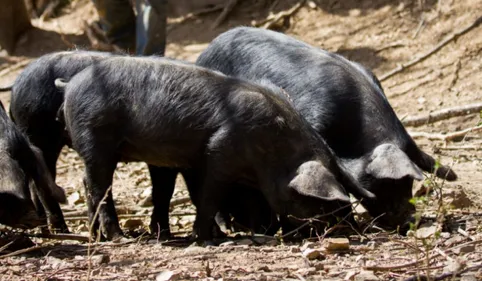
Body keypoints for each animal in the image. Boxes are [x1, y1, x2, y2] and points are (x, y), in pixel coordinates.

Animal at [55, 56, 372, 241]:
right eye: (319, 201)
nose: (350, 229)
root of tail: (70, 83)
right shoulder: (220, 150)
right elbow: (209, 196)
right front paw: (207, 238)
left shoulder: (196, 159)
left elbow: (202, 196)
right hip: (94, 136)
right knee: (99, 187)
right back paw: (118, 238)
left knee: (87, 183)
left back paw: (97, 237)